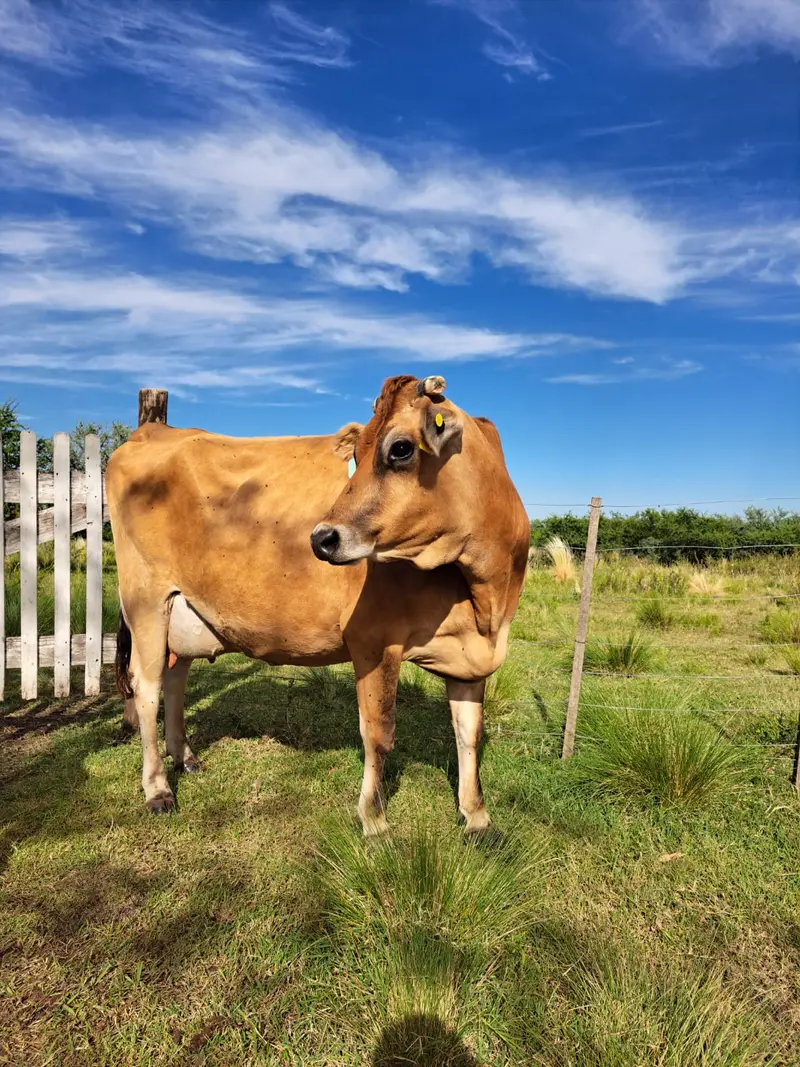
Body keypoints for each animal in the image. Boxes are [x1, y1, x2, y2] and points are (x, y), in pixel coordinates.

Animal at [105, 374, 530, 834]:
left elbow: (469, 732)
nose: (321, 537)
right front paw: (374, 819)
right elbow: (378, 733)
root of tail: (152, 431)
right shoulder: (373, 640)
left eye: (400, 449)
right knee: (147, 687)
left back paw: (185, 758)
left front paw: (477, 816)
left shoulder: (472, 653)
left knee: (175, 678)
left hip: (184, 609)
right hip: (146, 598)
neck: (486, 598)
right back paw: (158, 789)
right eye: (356, 455)